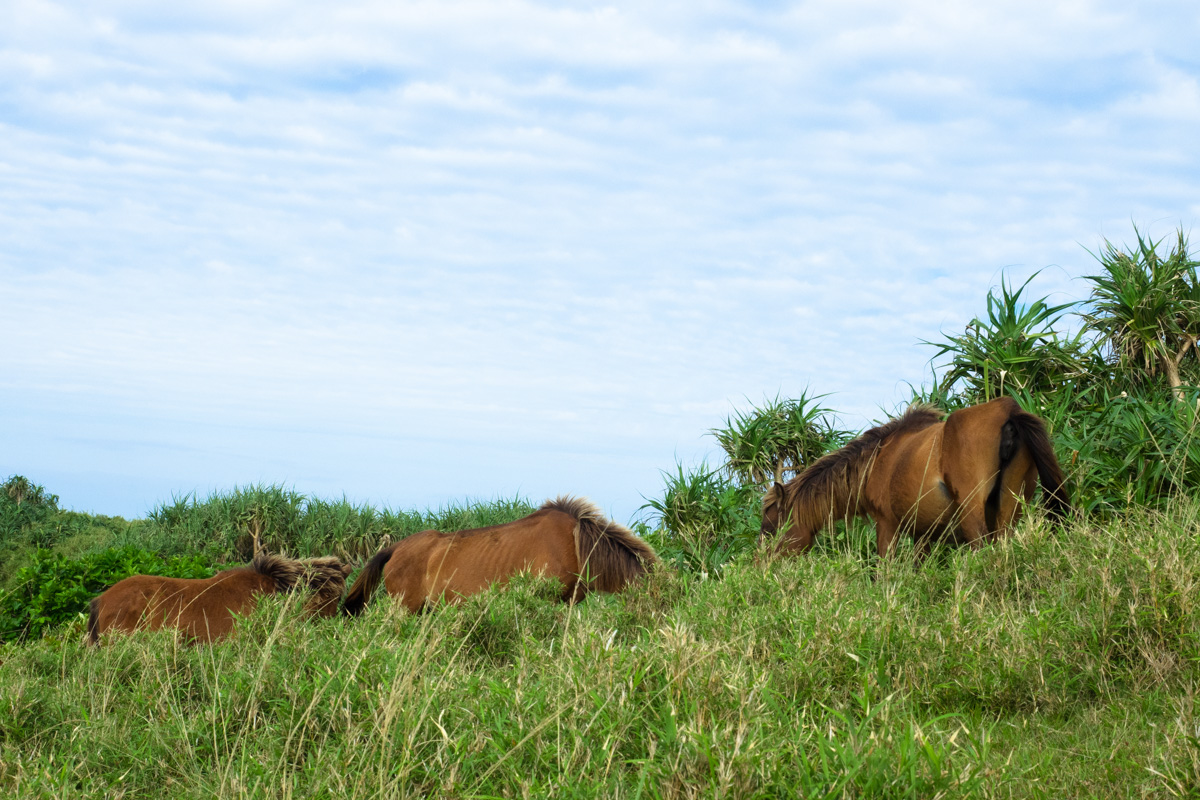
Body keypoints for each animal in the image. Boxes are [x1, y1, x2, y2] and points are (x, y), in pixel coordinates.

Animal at [758, 398, 1070, 561]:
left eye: (770, 528)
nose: (760, 568)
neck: (875, 461)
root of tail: (1009, 409)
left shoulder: (887, 525)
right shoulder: (922, 533)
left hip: (972, 514)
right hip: (1008, 509)